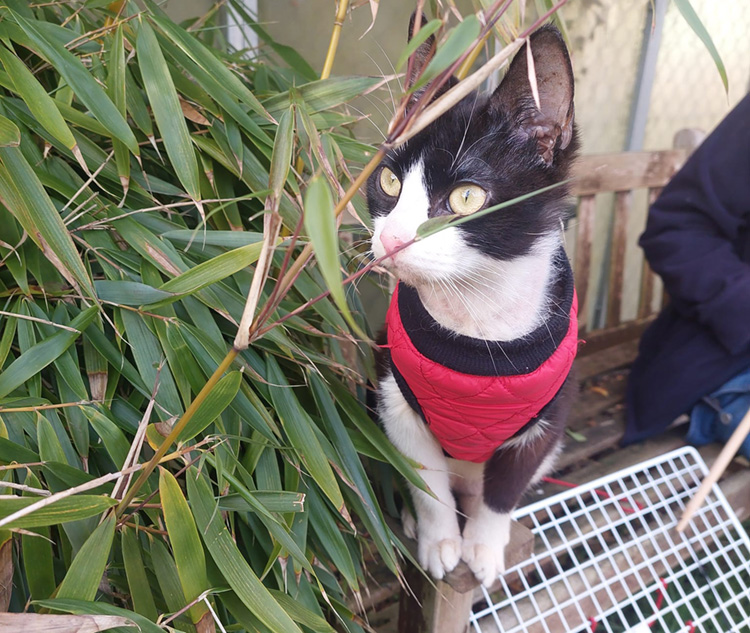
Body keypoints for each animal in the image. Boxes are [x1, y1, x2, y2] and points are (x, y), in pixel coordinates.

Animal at [370, 22, 580, 584]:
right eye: (388, 182)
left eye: (466, 197)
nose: (392, 239)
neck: (476, 323)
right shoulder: (396, 400)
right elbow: (425, 482)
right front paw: (441, 540)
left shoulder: (547, 420)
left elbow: (505, 488)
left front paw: (483, 547)